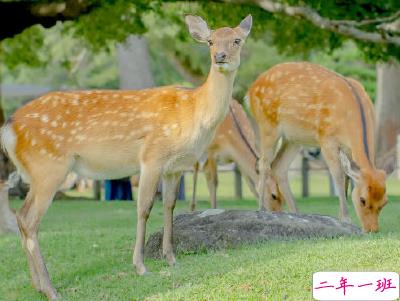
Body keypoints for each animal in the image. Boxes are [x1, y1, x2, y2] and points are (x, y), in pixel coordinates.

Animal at [1, 15, 253, 298]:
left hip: (36, 172)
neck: (194, 113)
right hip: (49, 167)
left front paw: (171, 259)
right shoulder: (152, 157)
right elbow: (144, 208)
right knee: (30, 219)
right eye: (210, 41)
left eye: (237, 40)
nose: (220, 56)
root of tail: (8, 127)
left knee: (21, 216)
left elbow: (169, 206)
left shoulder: (176, 167)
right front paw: (141, 267)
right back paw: (51, 289)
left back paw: (38, 286)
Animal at [250, 61, 388, 232]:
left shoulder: (347, 149)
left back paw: (297, 214)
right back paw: (261, 209)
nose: (372, 230)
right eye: (362, 200)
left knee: (278, 166)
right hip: (267, 125)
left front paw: (341, 218)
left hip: (293, 138)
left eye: (385, 202)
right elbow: (338, 175)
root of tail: (251, 89)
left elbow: (347, 177)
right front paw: (346, 219)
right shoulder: (327, 140)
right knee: (263, 164)